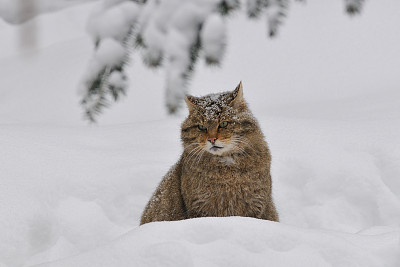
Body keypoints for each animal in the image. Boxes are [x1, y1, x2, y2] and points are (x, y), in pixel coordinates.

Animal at [141, 82, 278, 225]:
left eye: (223, 123)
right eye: (201, 127)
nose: (212, 139)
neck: (227, 170)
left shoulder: (257, 205)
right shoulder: (200, 208)